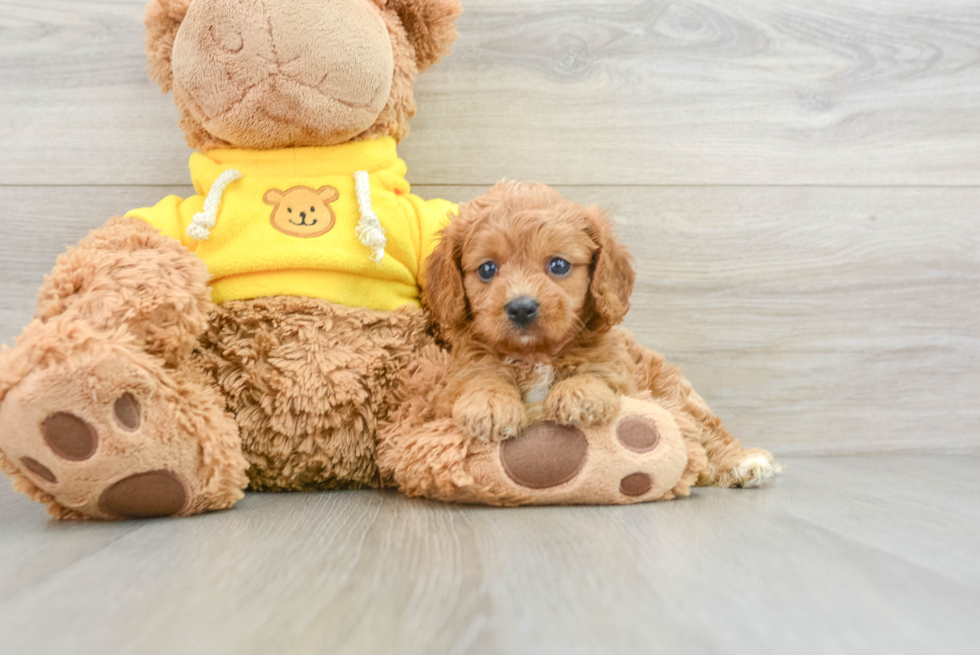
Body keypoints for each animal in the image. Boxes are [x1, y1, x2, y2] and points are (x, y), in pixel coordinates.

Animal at [424, 182, 640, 444]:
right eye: (487, 269)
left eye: (559, 265)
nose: (521, 309)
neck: (533, 355)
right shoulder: (454, 383)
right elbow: (480, 375)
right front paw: (490, 402)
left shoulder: (620, 375)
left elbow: (599, 371)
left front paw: (580, 391)